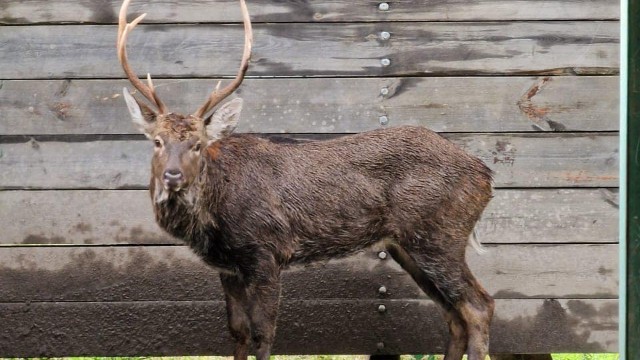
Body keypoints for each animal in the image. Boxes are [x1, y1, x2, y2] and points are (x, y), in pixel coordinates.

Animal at [115, 0, 496, 360]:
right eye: (158, 141)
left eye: (197, 144)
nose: (172, 176)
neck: (214, 217)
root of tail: (485, 174)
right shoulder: (228, 267)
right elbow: (238, 332)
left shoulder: (265, 250)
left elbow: (263, 334)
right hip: (408, 245)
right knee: (453, 314)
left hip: (440, 235)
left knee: (478, 306)